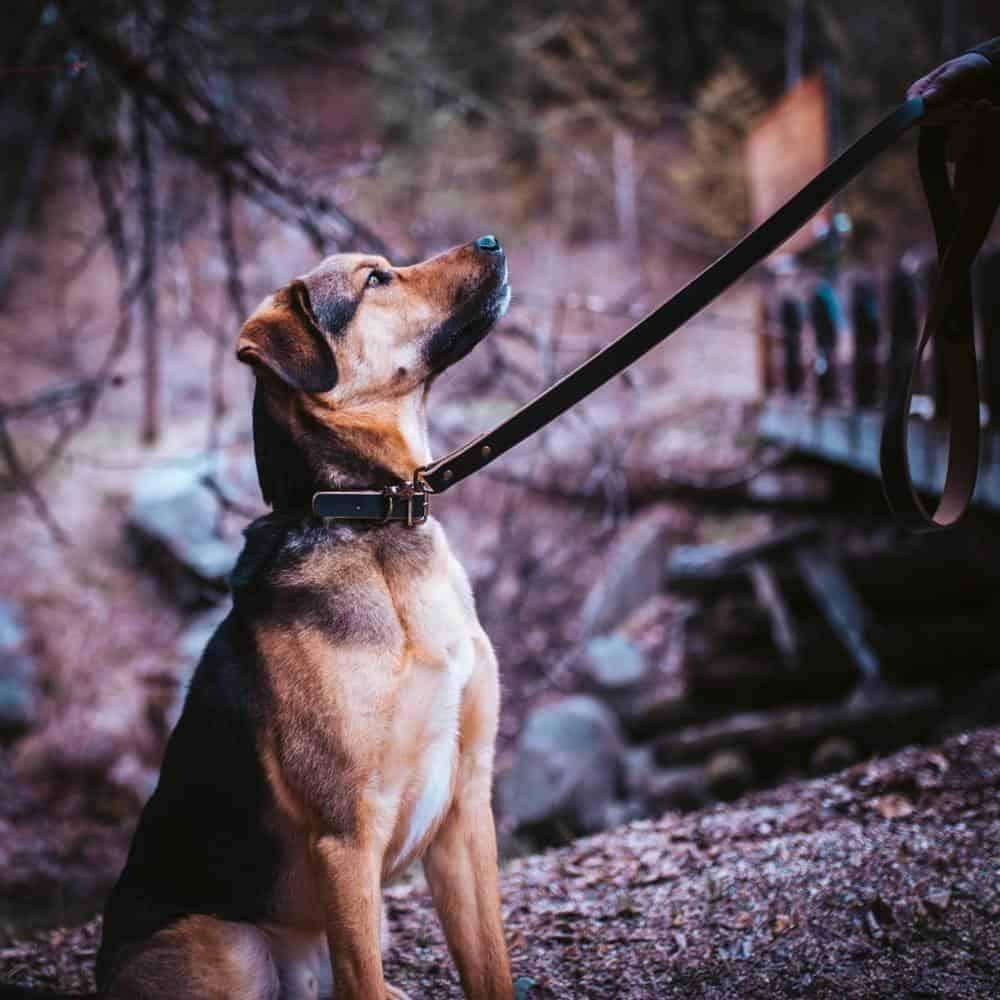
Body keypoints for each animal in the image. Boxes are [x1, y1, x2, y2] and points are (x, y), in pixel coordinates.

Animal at [94, 238, 516, 996]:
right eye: (376, 279)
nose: (492, 240)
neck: (376, 520)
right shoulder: (345, 832)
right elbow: (363, 976)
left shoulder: (467, 808)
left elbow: (490, 968)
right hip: (232, 946)